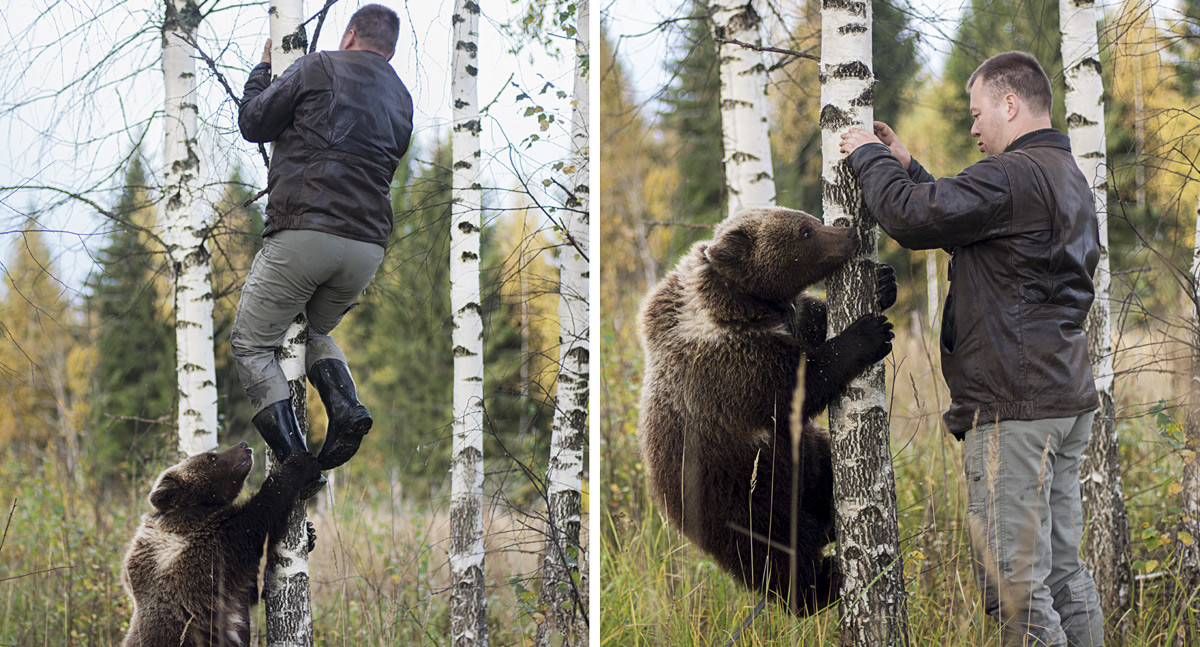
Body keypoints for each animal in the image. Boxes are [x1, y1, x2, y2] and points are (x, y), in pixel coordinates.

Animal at [643, 206, 897, 612]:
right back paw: (823, 584)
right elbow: (799, 387)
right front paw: (868, 333)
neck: (742, 305)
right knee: (783, 554)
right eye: (805, 232)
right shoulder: (734, 368)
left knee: (820, 467)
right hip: (743, 499)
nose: (850, 233)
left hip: (801, 462)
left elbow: (811, 318)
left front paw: (884, 282)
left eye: (811, 220)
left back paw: (830, 520)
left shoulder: (785, 321)